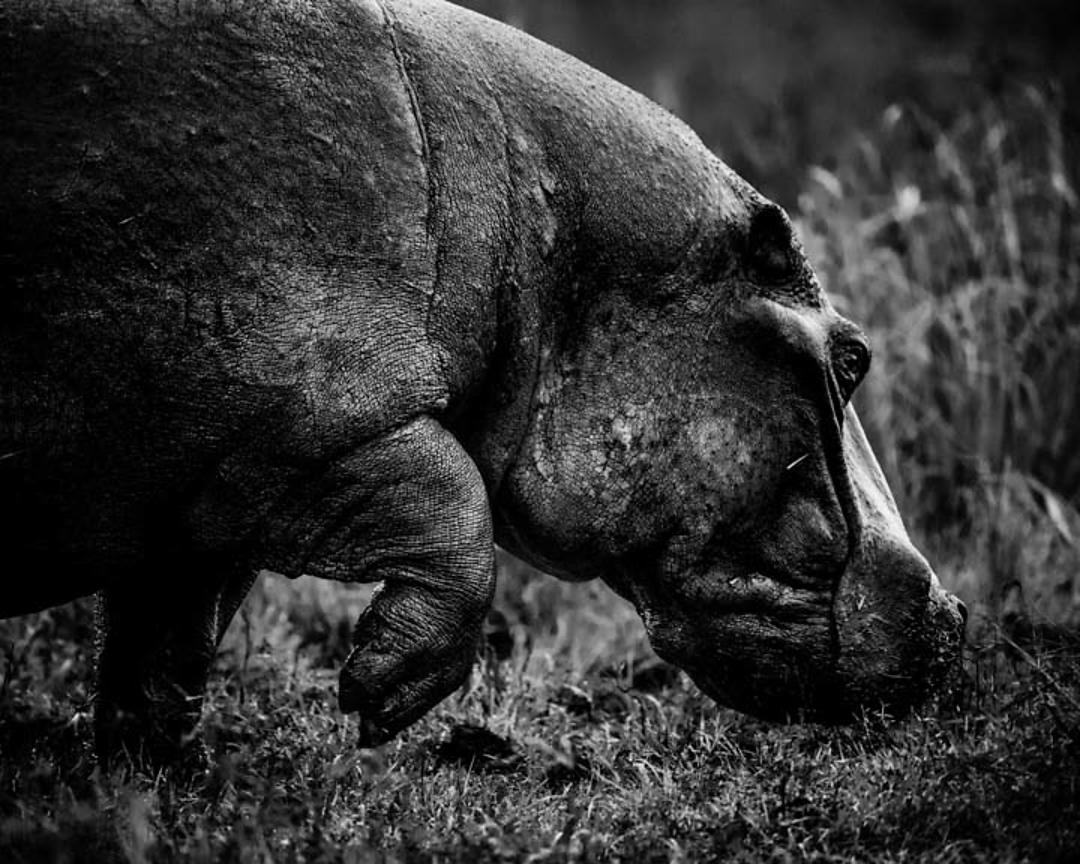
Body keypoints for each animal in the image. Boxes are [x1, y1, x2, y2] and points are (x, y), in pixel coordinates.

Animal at [0, 0, 963, 756]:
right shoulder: (311, 425)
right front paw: (373, 702)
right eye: (853, 357)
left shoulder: (206, 498)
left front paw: (155, 786)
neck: (535, 228)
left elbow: (166, 651)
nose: (956, 617)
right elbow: (455, 505)